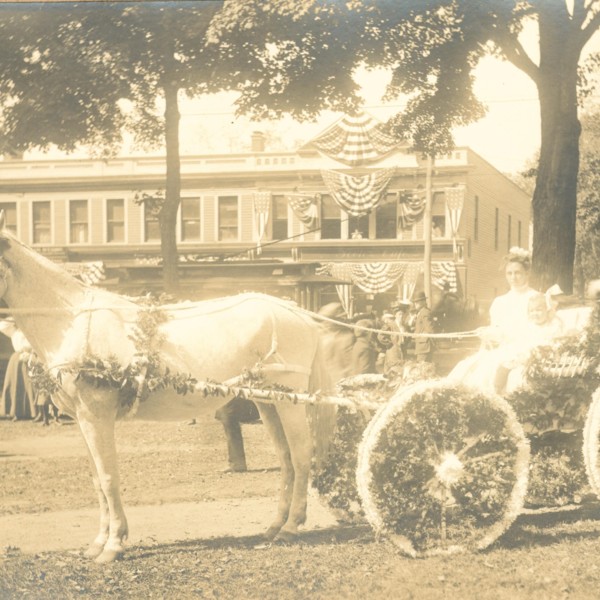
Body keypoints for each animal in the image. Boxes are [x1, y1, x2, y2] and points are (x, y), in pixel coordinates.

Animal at [0, 224, 338, 564]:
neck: (71, 317)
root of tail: (298, 312)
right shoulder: (83, 420)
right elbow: (97, 479)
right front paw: (98, 543)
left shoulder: (97, 417)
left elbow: (108, 478)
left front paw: (114, 544)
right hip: (269, 401)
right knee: (286, 458)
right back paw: (275, 526)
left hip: (291, 402)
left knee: (301, 454)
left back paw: (291, 527)